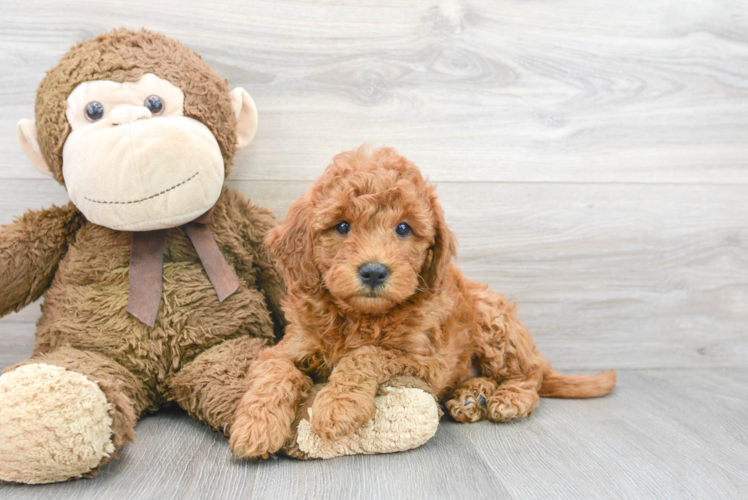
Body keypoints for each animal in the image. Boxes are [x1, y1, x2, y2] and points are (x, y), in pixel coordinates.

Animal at [229, 146, 612, 458]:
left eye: (403, 228)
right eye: (342, 226)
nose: (373, 271)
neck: (361, 316)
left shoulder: (426, 360)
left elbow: (367, 354)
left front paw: (337, 406)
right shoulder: (290, 345)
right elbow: (273, 371)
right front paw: (255, 428)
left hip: (493, 321)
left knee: (528, 374)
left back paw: (509, 399)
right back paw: (472, 397)